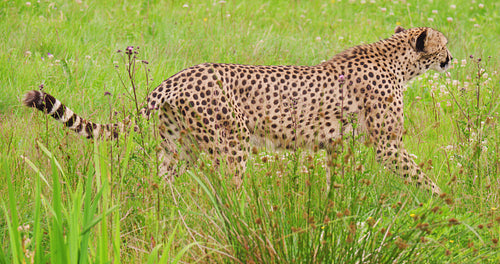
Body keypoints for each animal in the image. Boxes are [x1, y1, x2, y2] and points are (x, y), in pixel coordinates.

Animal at [24, 26, 454, 195]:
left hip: (180, 149)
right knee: (229, 191)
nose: (451, 58)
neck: (397, 59)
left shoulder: (337, 145)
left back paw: (166, 215)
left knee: (161, 183)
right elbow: (420, 176)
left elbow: (338, 184)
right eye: (444, 43)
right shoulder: (387, 145)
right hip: (231, 143)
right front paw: (444, 200)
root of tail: (177, 76)